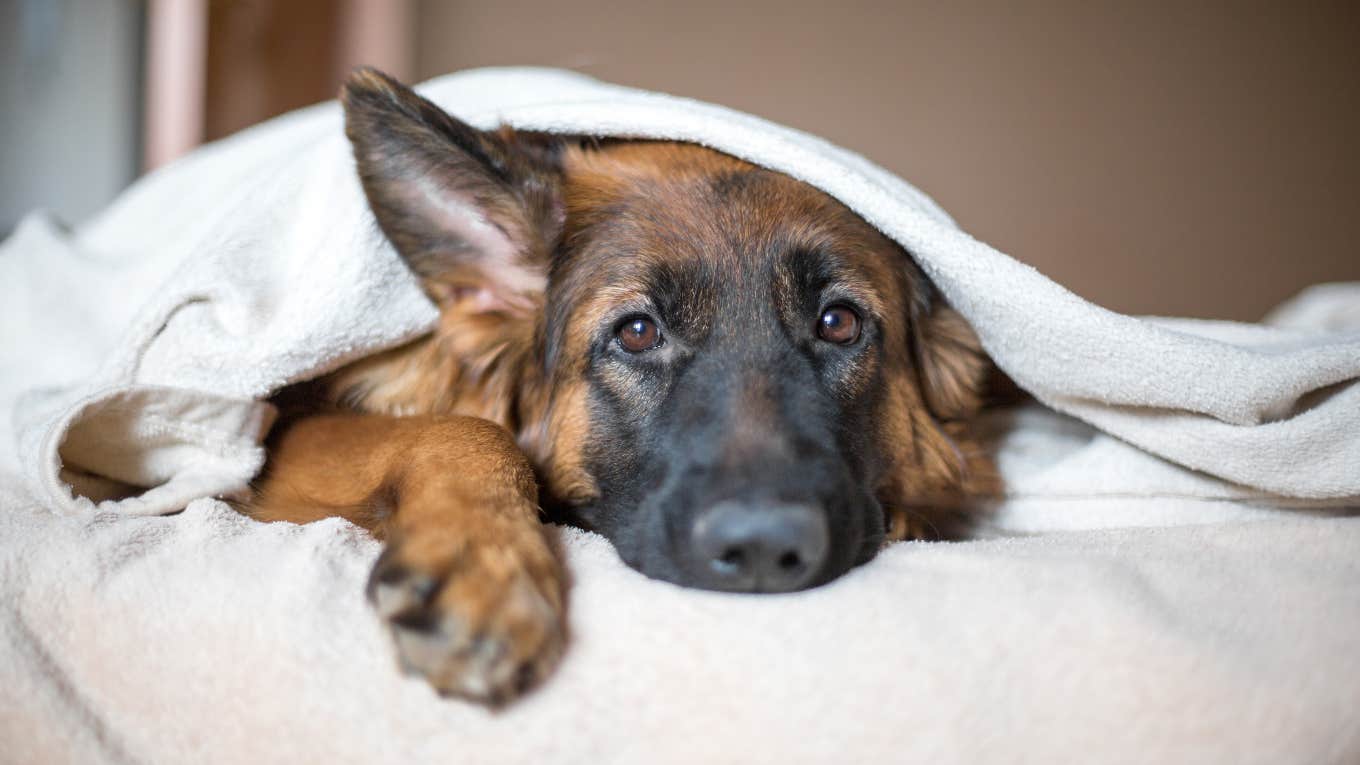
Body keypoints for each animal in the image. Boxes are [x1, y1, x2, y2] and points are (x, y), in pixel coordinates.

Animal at [247, 71, 990, 702]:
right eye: (636, 333)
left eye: (839, 323)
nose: (761, 548)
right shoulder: (282, 439)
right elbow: (466, 428)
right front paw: (483, 560)